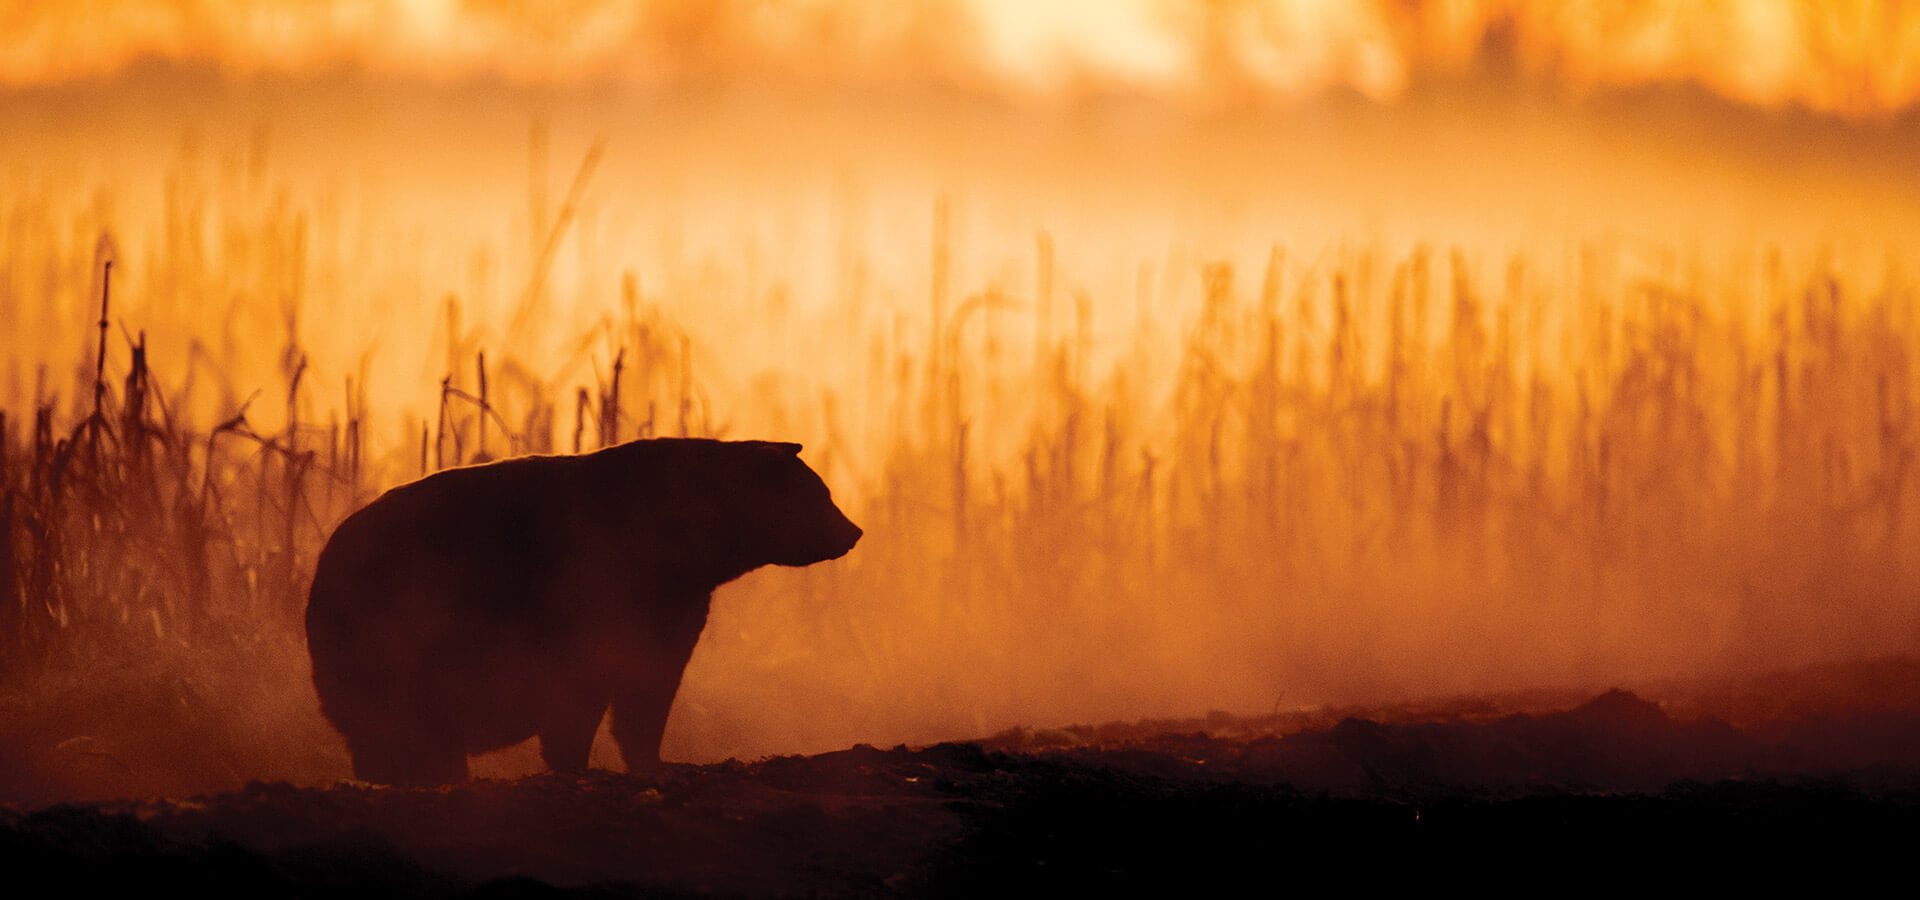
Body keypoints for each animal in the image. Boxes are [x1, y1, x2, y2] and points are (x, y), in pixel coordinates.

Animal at [303, 438, 861, 785]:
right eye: (821, 493)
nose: (853, 530)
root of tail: (325, 560)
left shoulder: (672, 607)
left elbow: (648, 689)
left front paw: (655, 761)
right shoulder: (594, 597)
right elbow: (583, 693)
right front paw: (579, 761)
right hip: (398, 628)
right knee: (396, 714)